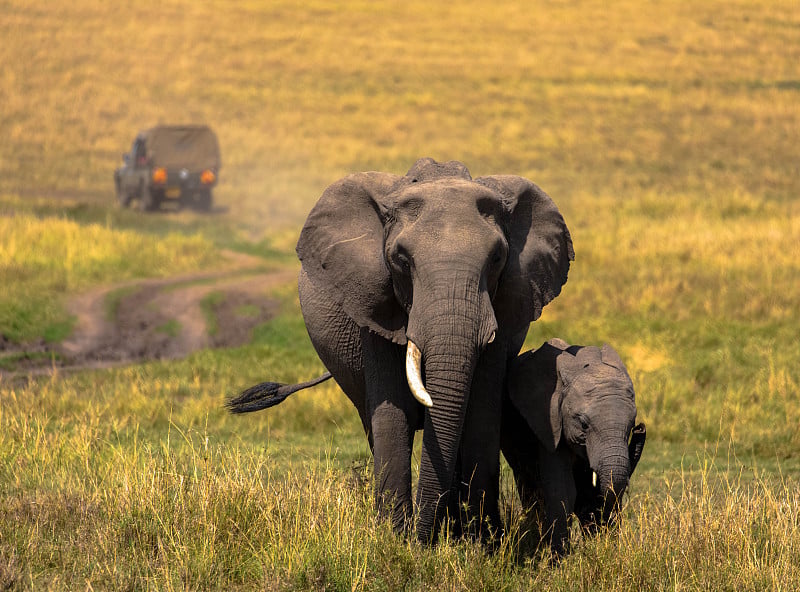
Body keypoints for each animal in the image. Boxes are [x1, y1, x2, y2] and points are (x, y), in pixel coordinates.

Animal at [228, 158, 572, 544]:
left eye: (497, 258)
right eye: (402, 260)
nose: (424, 540)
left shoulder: (504, 310)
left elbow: (480, 412)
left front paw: (479, 544)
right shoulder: (372, 302)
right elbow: (393, 412)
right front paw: (395, 540)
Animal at [504, 338, 648, 556]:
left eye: (632, 425)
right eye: (583, 424)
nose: (641, 428)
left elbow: (591, 493)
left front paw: (602, 550)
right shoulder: (549, 423)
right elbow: (564, 490)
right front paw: (558, 559)